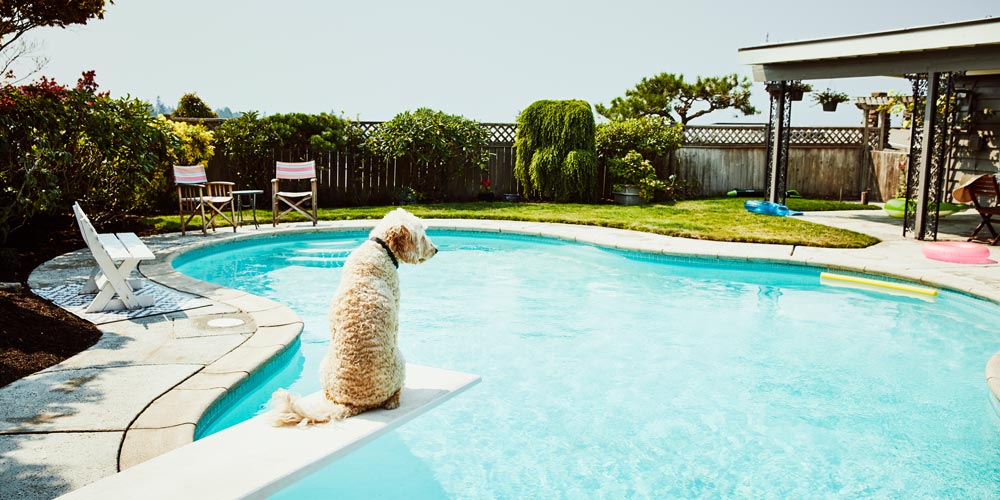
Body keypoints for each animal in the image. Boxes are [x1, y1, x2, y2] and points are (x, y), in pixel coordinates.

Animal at [268, 208, 436, 426]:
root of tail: (353, 404)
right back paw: (394, 399)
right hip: (400, 362)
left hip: (324, 368)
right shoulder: (396, 319)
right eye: (422, 236)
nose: (436, 249)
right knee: (394, 393)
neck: (379, 249)